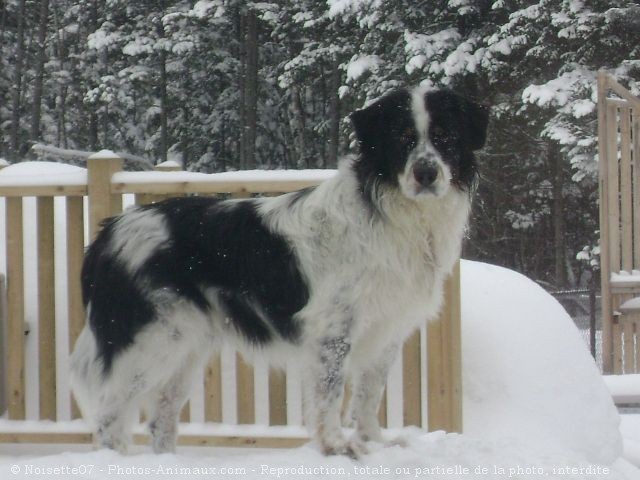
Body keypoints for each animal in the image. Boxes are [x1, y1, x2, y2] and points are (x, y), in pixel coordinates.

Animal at [70, 85, 488, 458]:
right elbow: (330, 394)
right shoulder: (331, 330)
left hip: (185, 346)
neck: (391, 211)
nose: (426, 173)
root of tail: (106, 235)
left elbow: (369, 395)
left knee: (161, 419)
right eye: (402, 139)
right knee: (109, 416)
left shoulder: (386, 330)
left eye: (445, 137)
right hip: (150, 340)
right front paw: (336, 446)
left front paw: (375, 443)